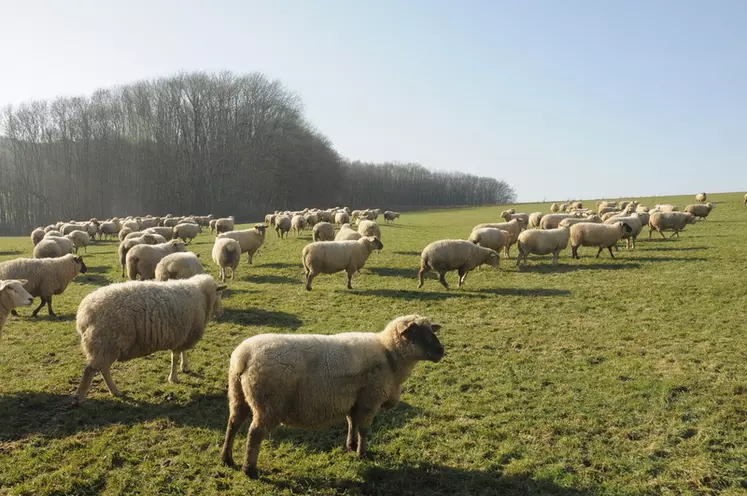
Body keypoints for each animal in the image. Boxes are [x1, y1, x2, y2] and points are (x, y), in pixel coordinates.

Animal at [72, 276, 226, 404]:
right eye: (219, 294)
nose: (221, 312)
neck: (202, 296)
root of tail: (83, 314)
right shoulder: (182, 333)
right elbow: (175, 356)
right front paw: (174, 378)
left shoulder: (183, 335)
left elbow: (182, 352)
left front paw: (184, 366)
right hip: (105, 343)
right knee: (91, 370)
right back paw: (80, 397)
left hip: (105, 346)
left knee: (103, 369)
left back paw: (114, 392)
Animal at [222, 312, 444, 478]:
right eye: (417, 332)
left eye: (431, 331)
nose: (442, 351)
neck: (389, 354)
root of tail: (244, 356)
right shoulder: (370, 400)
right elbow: (364, 429)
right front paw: (363, 453)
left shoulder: (355, 399)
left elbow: (351, 422)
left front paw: (351, 446)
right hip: (268, 405)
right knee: (254, 434)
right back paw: (250, 470)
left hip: (238, 395)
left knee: (233, 424)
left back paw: (227, 459)